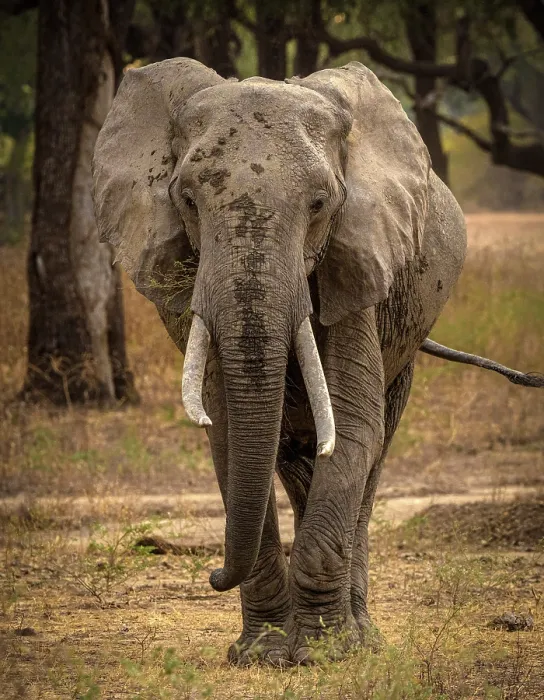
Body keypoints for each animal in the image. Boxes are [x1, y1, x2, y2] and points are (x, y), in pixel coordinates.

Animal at [92, 58, 543, 666]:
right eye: (186, 199)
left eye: (320, 204)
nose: (211, 574)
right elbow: (231, 432)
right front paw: (261, 654)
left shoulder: (359, 264)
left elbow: (352, 428)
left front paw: (323, 655)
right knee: (292, 459)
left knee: (371, 457)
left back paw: (362, 637)